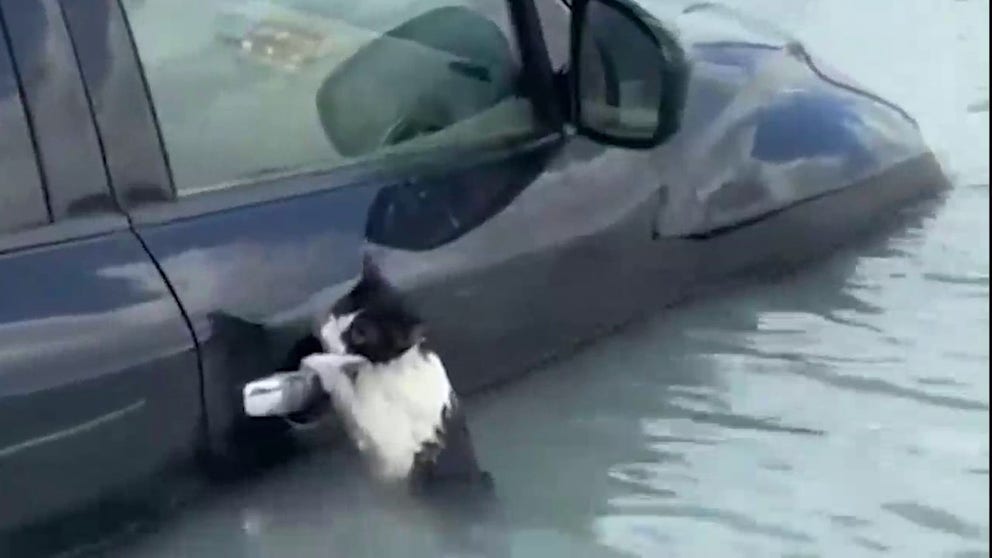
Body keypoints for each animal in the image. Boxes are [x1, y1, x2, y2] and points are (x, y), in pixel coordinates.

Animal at [298, 255, 492, 494]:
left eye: (360, 334)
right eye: (342, 308)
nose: (328, 331)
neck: (390, 365)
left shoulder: (391, 437)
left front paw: (319, 362)